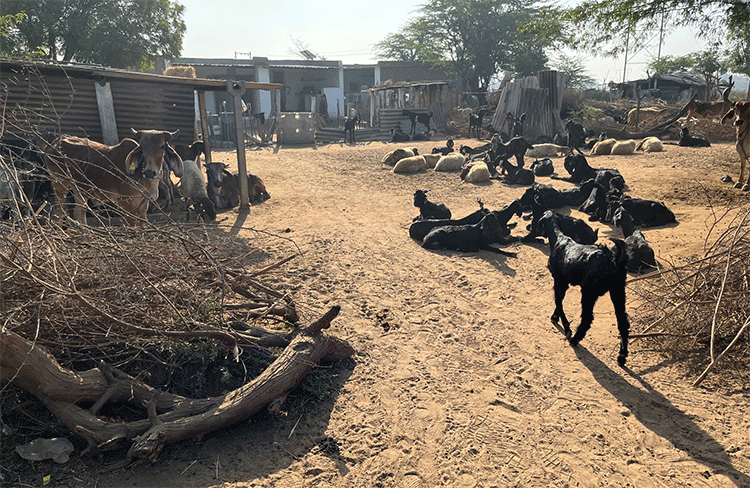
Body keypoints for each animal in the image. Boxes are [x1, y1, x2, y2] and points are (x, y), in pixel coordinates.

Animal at [44, 127, 184, 224]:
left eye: (162, 146)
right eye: (142, 147)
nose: (150, 172)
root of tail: (56, 142)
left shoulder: (143, 208)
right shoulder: (128, 207)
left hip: (80, 190)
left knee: (79, 213)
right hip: (60, 185)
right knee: (58, 213)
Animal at [536, 211, 632, 366]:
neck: (559, 240)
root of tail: (614, 259)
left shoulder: (559, 280)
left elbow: (558, 301)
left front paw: (566, 328)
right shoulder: (564, 282)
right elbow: (559, 301)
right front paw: (555, 317)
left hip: (589, 292)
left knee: (587, 318)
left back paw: (575, 339)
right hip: (618, 291)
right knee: (622, 322)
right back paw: (622, 355)